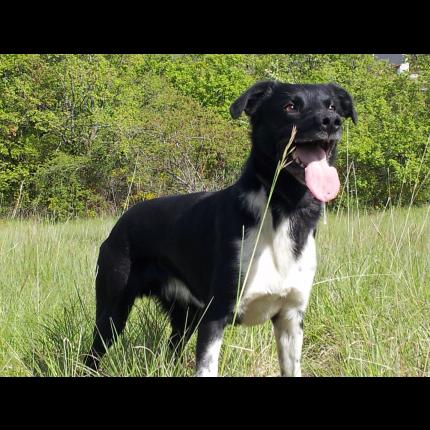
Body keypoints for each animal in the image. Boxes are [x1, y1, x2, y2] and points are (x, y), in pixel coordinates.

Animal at [85, 80, 356, 376]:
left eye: (332, 106)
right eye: (290, 106)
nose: (331, 121)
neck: (282, 210)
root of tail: (121, 221)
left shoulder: (290, 318)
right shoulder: (215, 317)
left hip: (185, 317)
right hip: (113, 311)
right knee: (92, 354)